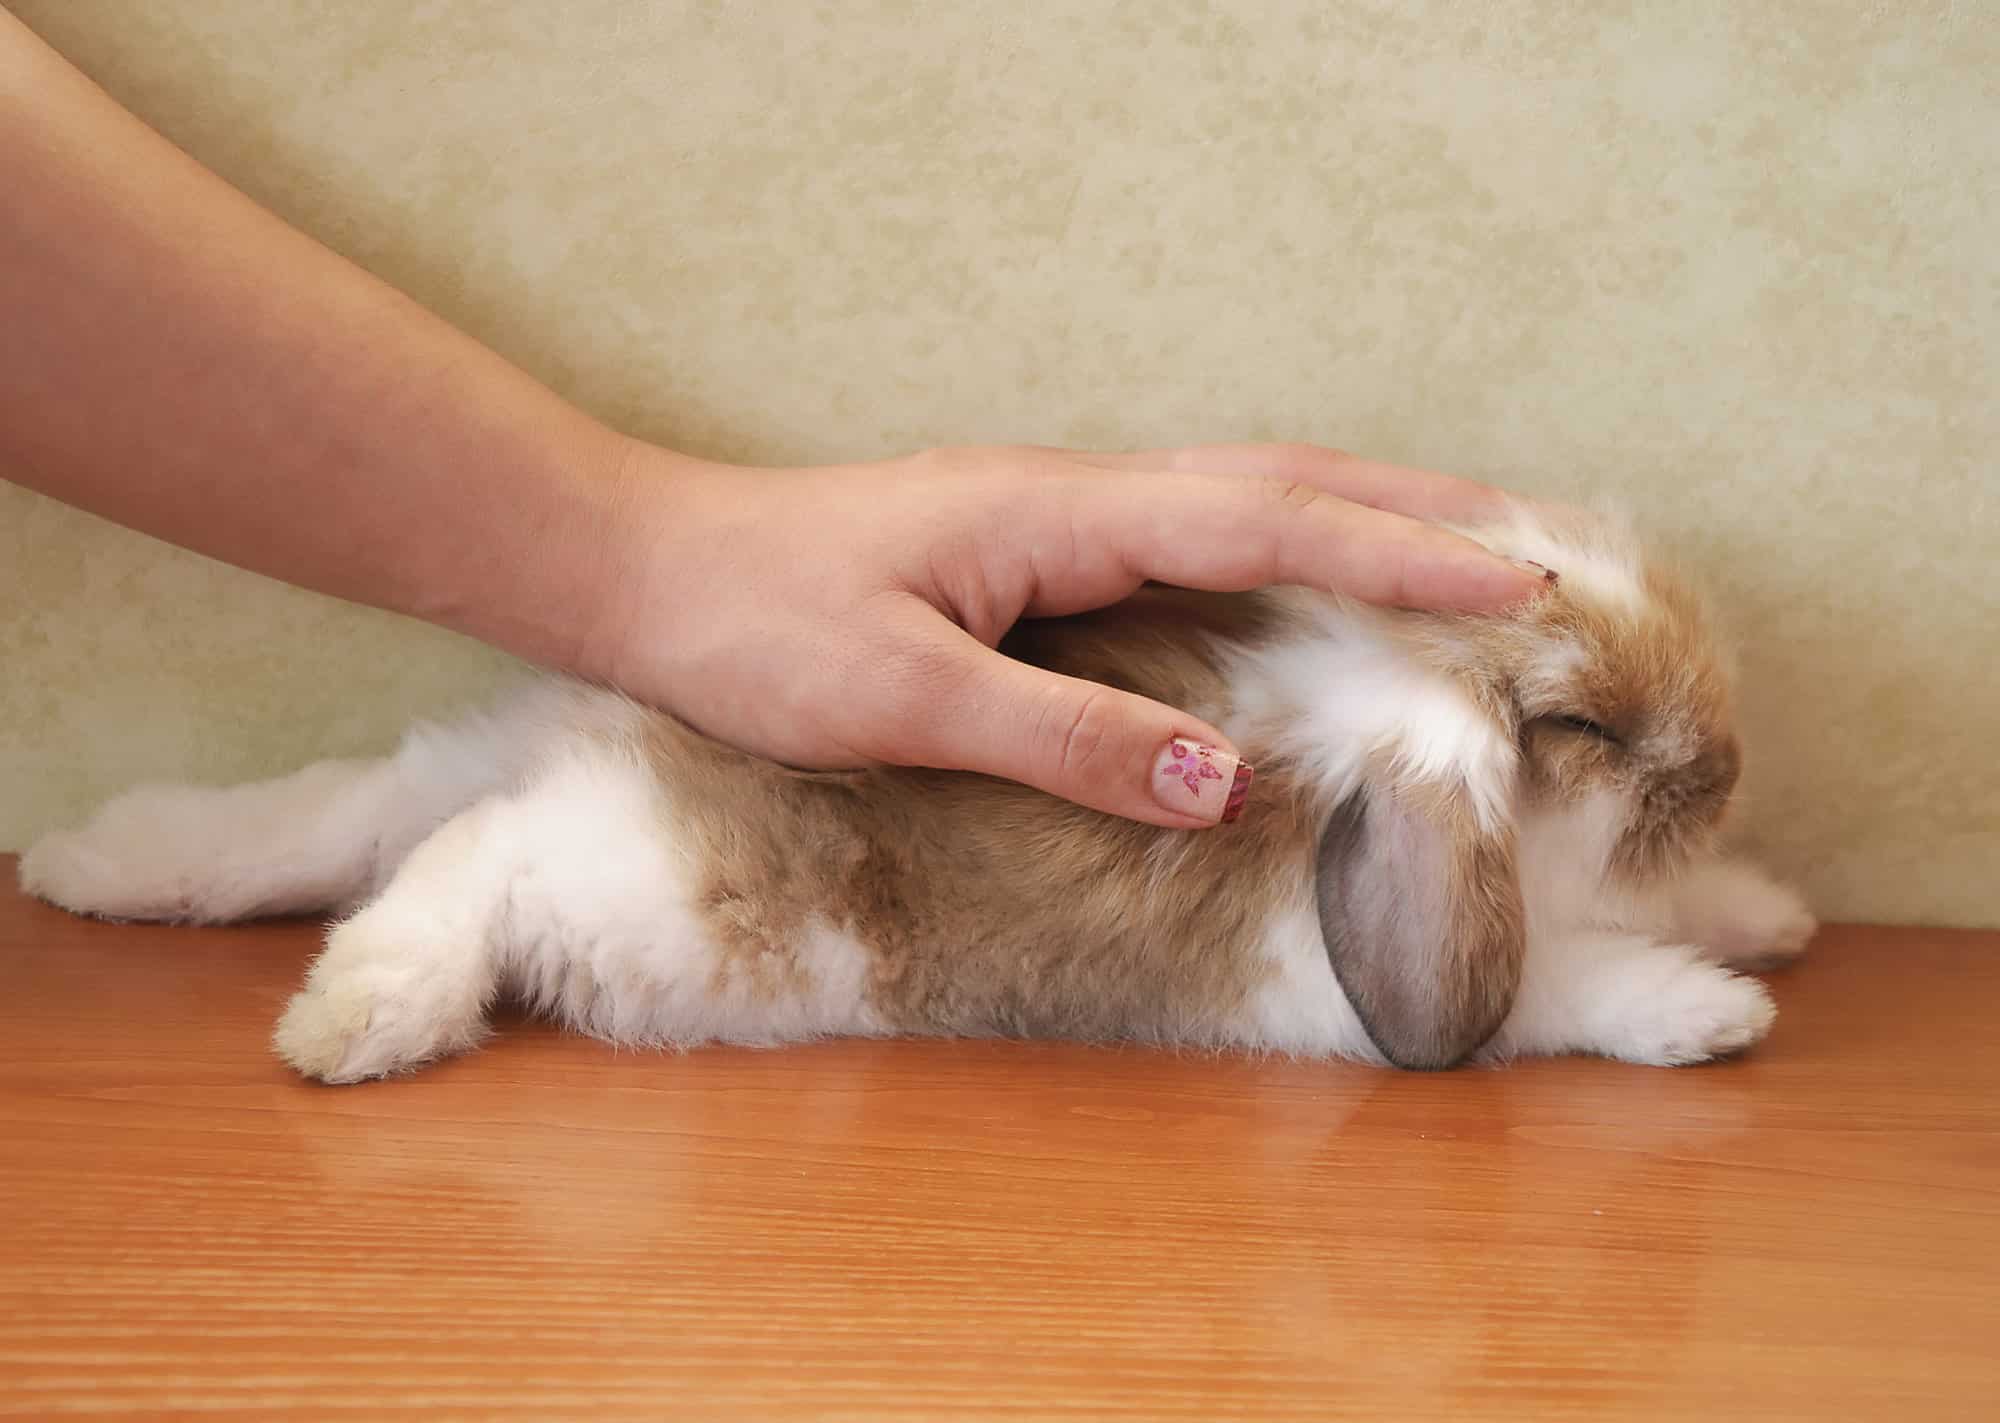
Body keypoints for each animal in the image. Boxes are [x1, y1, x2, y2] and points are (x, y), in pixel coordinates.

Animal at [19, 499, 1816, 1079]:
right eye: (1582, 726)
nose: (1731, 768)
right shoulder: (1358, 980)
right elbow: (1562, 983)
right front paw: (1714, 1008)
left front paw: (1775, 910)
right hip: (644, 896)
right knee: (471, 856)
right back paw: (363, 1019)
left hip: (463, 782)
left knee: (354, 809)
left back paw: (94, 859)